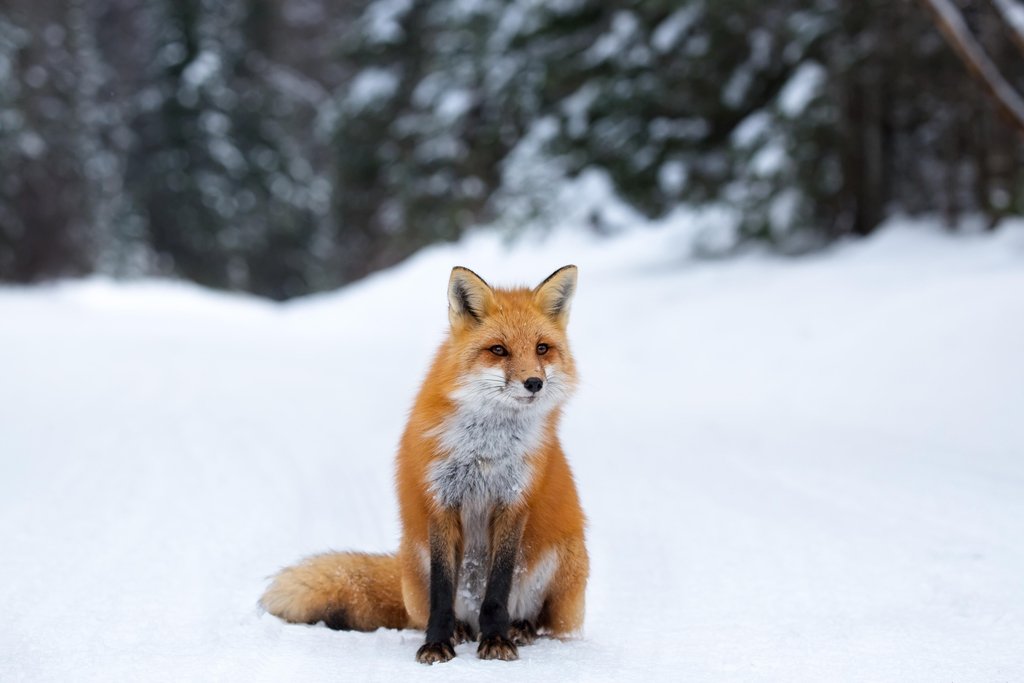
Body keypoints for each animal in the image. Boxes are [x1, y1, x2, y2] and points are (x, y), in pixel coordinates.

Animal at [260, 265, 588, 664]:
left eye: (542, 348)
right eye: (499, 350)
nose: (534, 383)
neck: (485, 449)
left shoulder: (513, 502)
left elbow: (498, 590)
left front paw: (497, 640)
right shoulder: (441, 501)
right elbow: (442, 593)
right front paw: (437, 643)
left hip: (566, 561)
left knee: (544, 623)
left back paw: (518, 628)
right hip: (415, 560)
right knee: (432, 612)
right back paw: (462, 630)